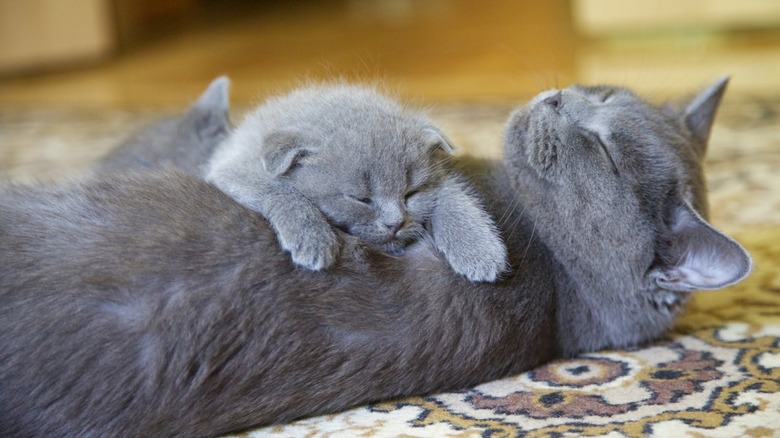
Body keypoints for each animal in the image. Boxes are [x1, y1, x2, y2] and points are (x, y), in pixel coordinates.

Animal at [204, 84, 508, 282]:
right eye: (361, 199)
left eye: (411, 193)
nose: (395, 223)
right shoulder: (232, 169)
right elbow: (280, 190)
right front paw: (312, 237)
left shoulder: (441, 177)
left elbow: (452, 198)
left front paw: (480, 249)